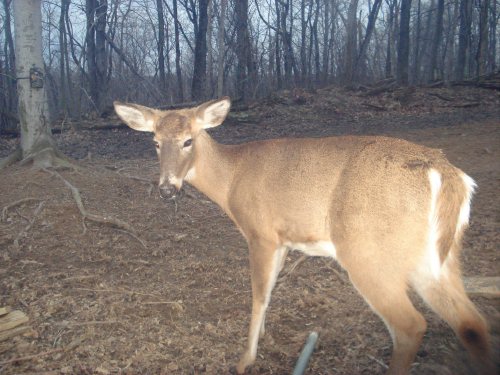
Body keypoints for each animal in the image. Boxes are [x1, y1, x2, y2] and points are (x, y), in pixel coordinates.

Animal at [113, 97, 492, 375]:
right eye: (155, 143)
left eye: (188, 141)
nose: (166, 189)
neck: (231, 180)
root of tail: (447, 173)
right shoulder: (284, 239)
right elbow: (270, 290)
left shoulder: (261, 233)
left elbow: (258, 294)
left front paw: (245, 359)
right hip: (438, 257)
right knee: (472, 322)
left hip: (367, 251)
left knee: (411, 325)